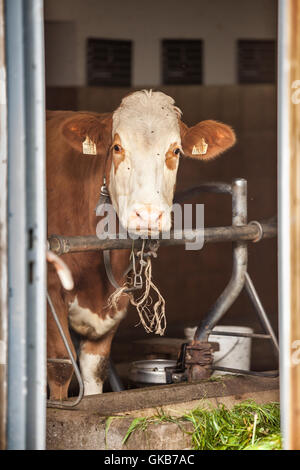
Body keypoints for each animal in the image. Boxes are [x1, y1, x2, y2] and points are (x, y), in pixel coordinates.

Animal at [47, 90, 236, 398]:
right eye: (116, 147)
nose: (147, 215)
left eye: (176, 151)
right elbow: (61, 367)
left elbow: (94, 370)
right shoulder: (51, 291)